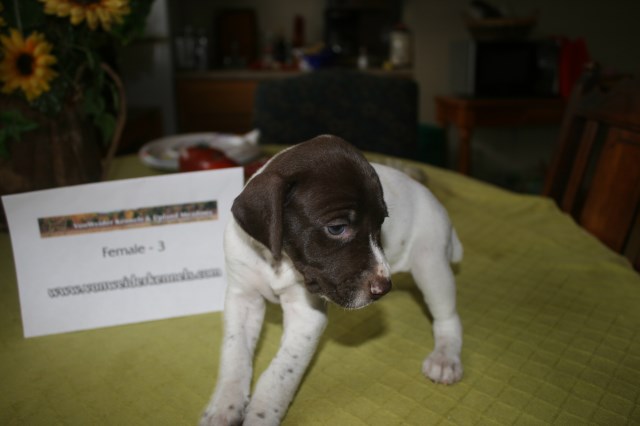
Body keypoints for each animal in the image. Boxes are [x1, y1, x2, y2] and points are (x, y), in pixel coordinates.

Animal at [199, 135, 460, 424]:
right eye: (336, 228)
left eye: (381, 223)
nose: (384, 288)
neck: (278, 261)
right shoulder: (242, 298)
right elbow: (235, 356)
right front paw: (224, 406)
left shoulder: (306, 316)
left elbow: (279, 376)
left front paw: (261, 415)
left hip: (431, 264)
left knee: (448, 317)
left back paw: (445, 358)